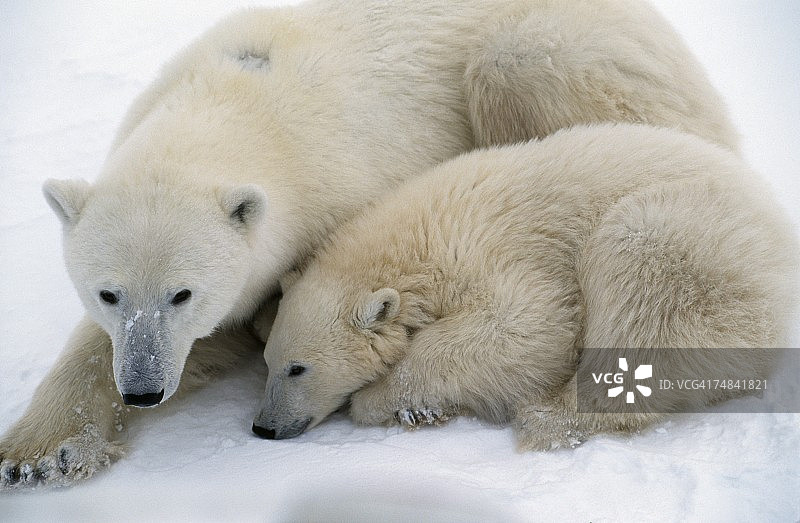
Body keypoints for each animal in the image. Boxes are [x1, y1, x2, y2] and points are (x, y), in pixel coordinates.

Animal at [0, 0, 739, 487]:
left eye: (183, 292)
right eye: (107, 292)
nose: (144, 389)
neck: (246, 107)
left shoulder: (346, 191)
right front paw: (42, 451)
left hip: (567, 50)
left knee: (525, 66)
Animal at [252, 123, 798, 447]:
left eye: (298, 368)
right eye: (268, 362)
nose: (263, 427)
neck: (425, 235)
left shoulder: (498, 251)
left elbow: (530, 329)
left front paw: (389, 401)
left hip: (692, 246)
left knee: (642, 295)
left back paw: (549, 417)